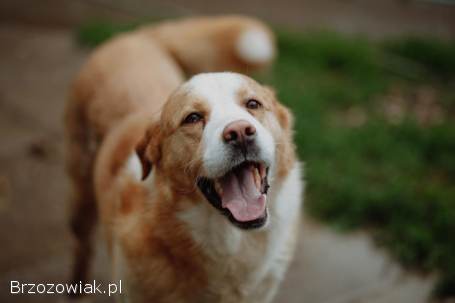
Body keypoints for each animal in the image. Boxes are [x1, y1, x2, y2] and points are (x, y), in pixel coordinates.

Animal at [66, 14, 302, 303]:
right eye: (193, 118)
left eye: (253, 104)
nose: (239, 132)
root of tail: (133, 36)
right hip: (80, 195)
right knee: (82, 246)